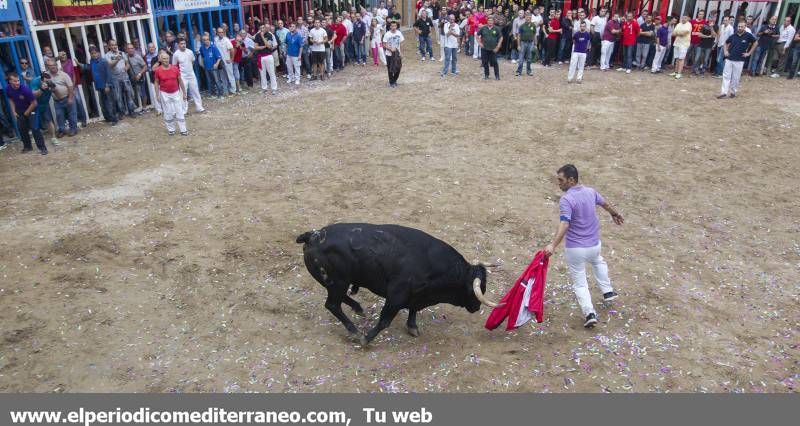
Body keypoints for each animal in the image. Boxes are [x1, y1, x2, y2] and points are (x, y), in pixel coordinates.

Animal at [296, 225, 500, 344]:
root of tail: (312, 236)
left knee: (339, 300)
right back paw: (355, 332)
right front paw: (366, 339)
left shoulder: (416, 294)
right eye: (474, 291)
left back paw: (358, 308)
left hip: (337, 283)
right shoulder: (396, 295)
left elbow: (413, 309)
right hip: (337, 282)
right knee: (332, 305)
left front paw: (412, 327)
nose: (476, 307)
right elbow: (385, 320)